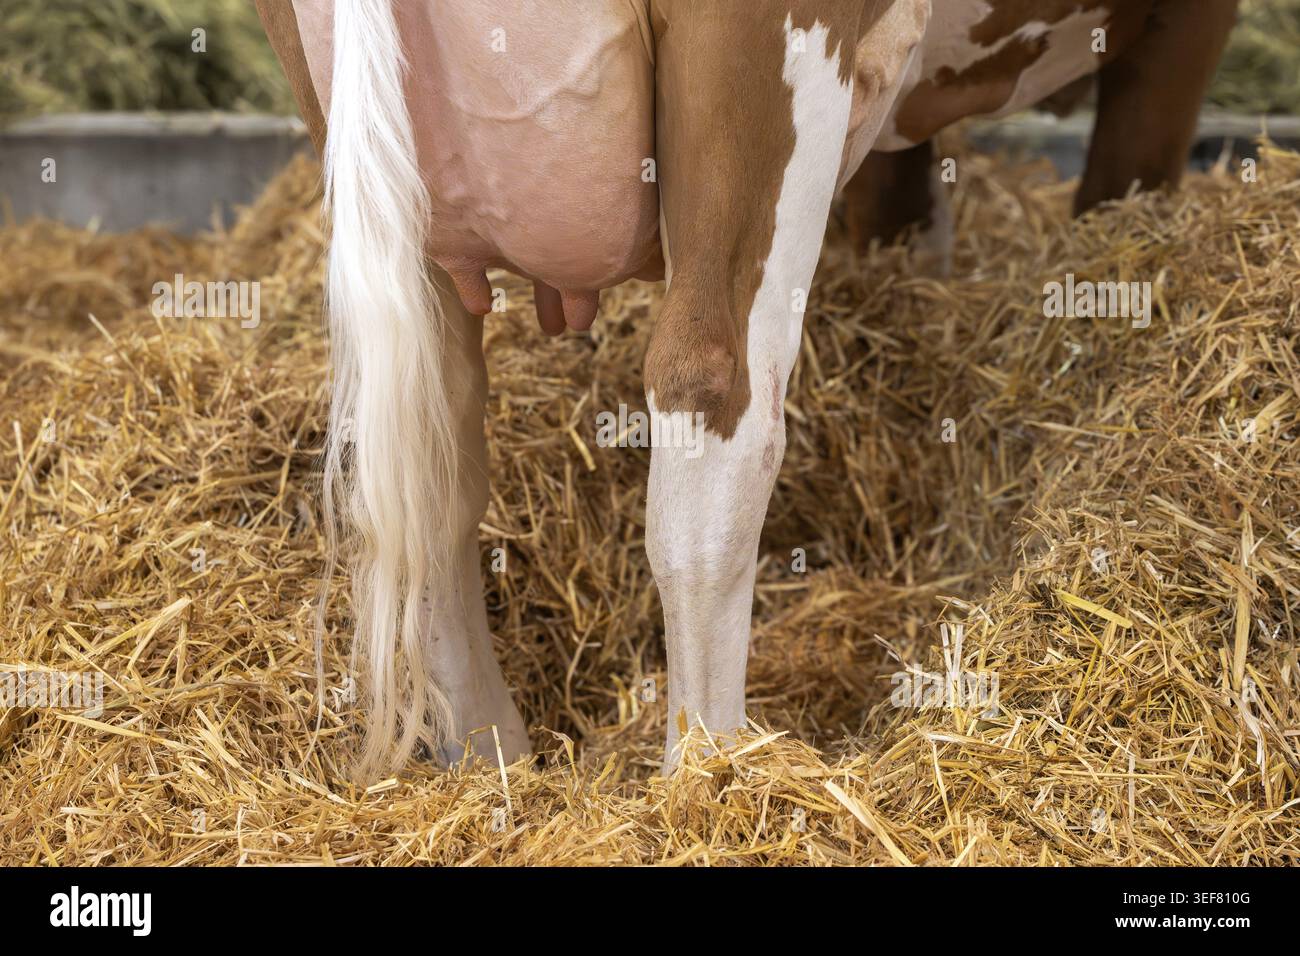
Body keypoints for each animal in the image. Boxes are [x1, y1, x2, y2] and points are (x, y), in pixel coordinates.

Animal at [254, 0, 1239, 777]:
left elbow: (904, 223)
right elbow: (1124, 201)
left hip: (380, 184)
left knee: (428, 466)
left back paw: (492, 762)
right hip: (764, 71)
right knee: (713, 414)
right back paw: (713, 773)